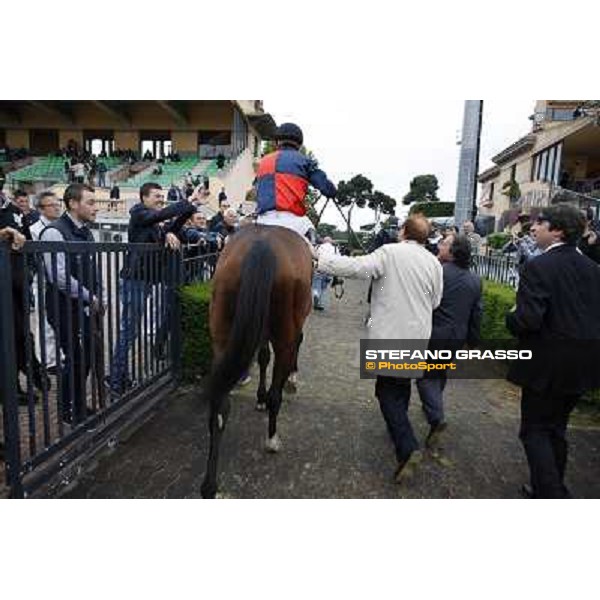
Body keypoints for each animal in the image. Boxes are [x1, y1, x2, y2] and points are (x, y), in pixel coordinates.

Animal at [202, 224, 314, 496]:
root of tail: (261, 244)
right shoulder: (292, 329)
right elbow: (293, 347)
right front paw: (291, 380)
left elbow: (263, 357)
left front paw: (259, 398)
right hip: (285, 330)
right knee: (277, 391)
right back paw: (272, 439)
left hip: (221, 334)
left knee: (219, 405)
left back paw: (209, 486)